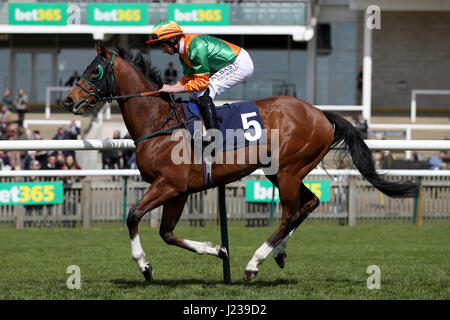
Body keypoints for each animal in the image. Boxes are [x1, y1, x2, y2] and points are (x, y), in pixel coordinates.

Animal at [61, 42, 416, 282]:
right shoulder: (180, 190)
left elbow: (134, 215)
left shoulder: (169, 184)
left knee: (291, 213)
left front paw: (145, 266)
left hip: (288, 170)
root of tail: (321, 114)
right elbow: (167, 233)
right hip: (281, 171)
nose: (68, 100)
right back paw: (279, 252)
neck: (160, 121)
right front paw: (217, 250)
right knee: (309, 204)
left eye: (94, 70)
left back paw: (254, 263)